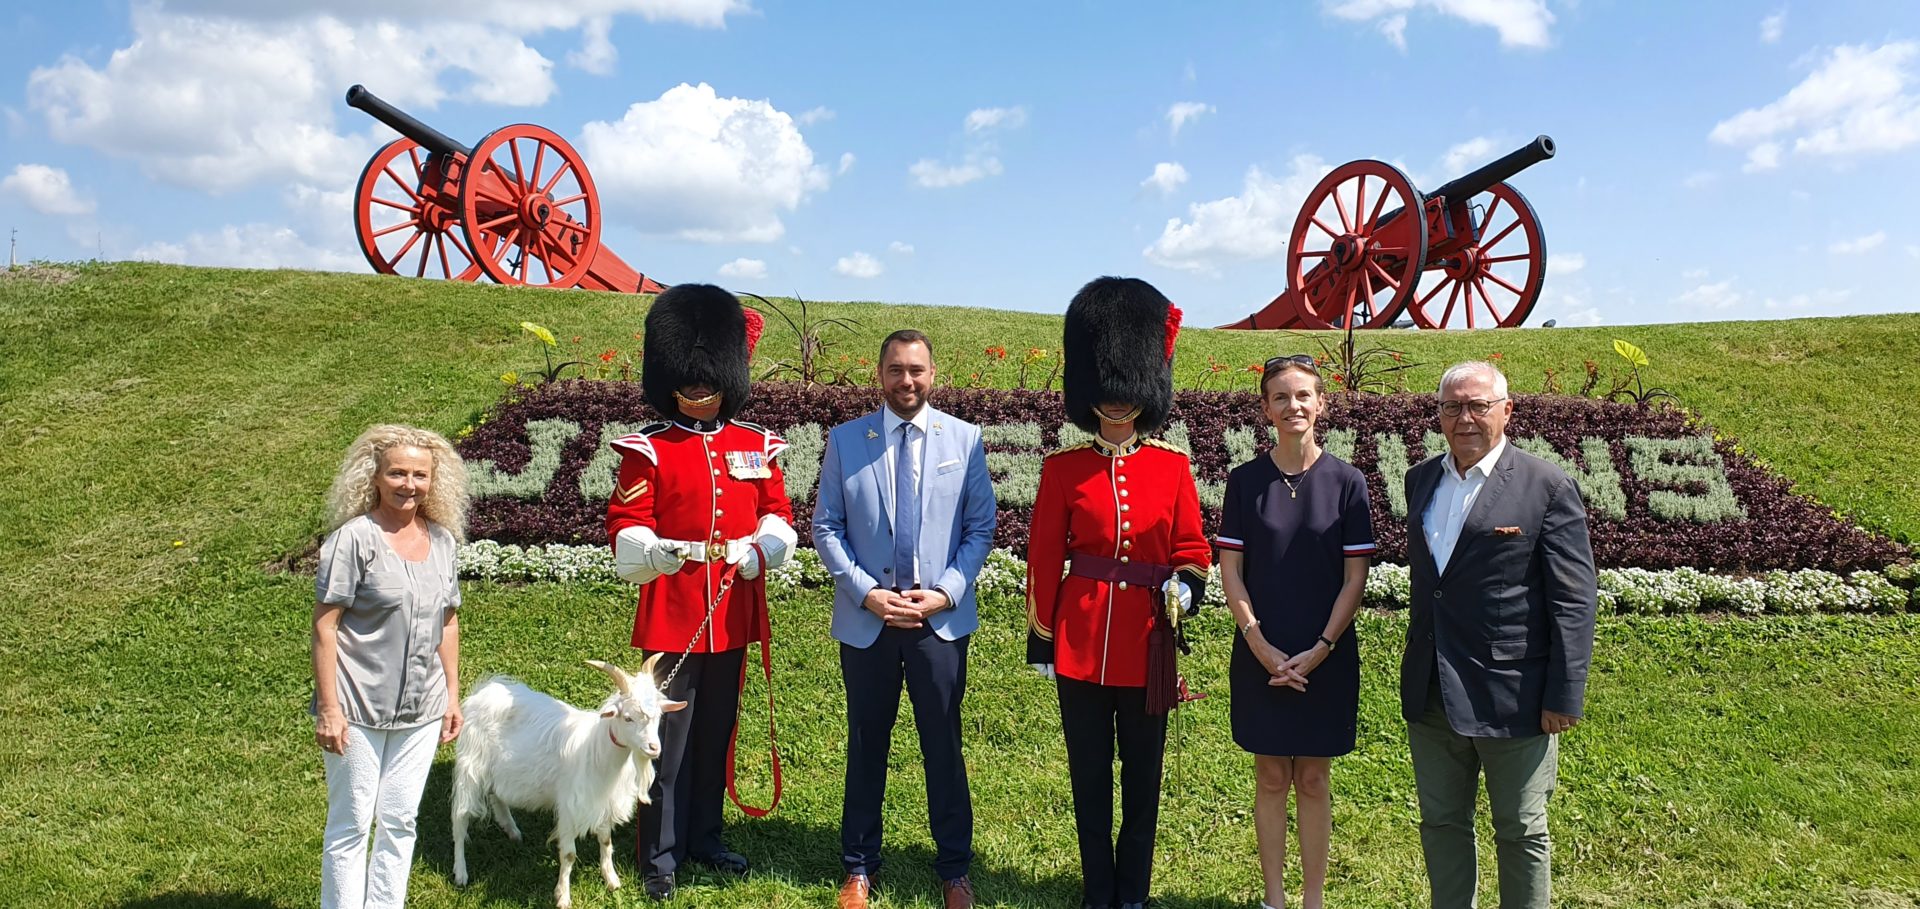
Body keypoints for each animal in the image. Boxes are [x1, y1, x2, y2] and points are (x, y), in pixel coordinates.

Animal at [449, 657, 683, 903]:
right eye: (627, 718)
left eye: (658, 716)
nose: (654, 748)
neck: (598, 751)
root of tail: (482, 692)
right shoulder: (571, 807)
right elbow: (569, 855)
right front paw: (562, 896)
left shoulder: (603, 802)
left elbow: (606, 841)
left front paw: (611, 879)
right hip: (470, 767)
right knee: (459, 819)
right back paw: (461, 872)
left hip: (499, 770)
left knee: (497, 795)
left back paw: (512, 831)